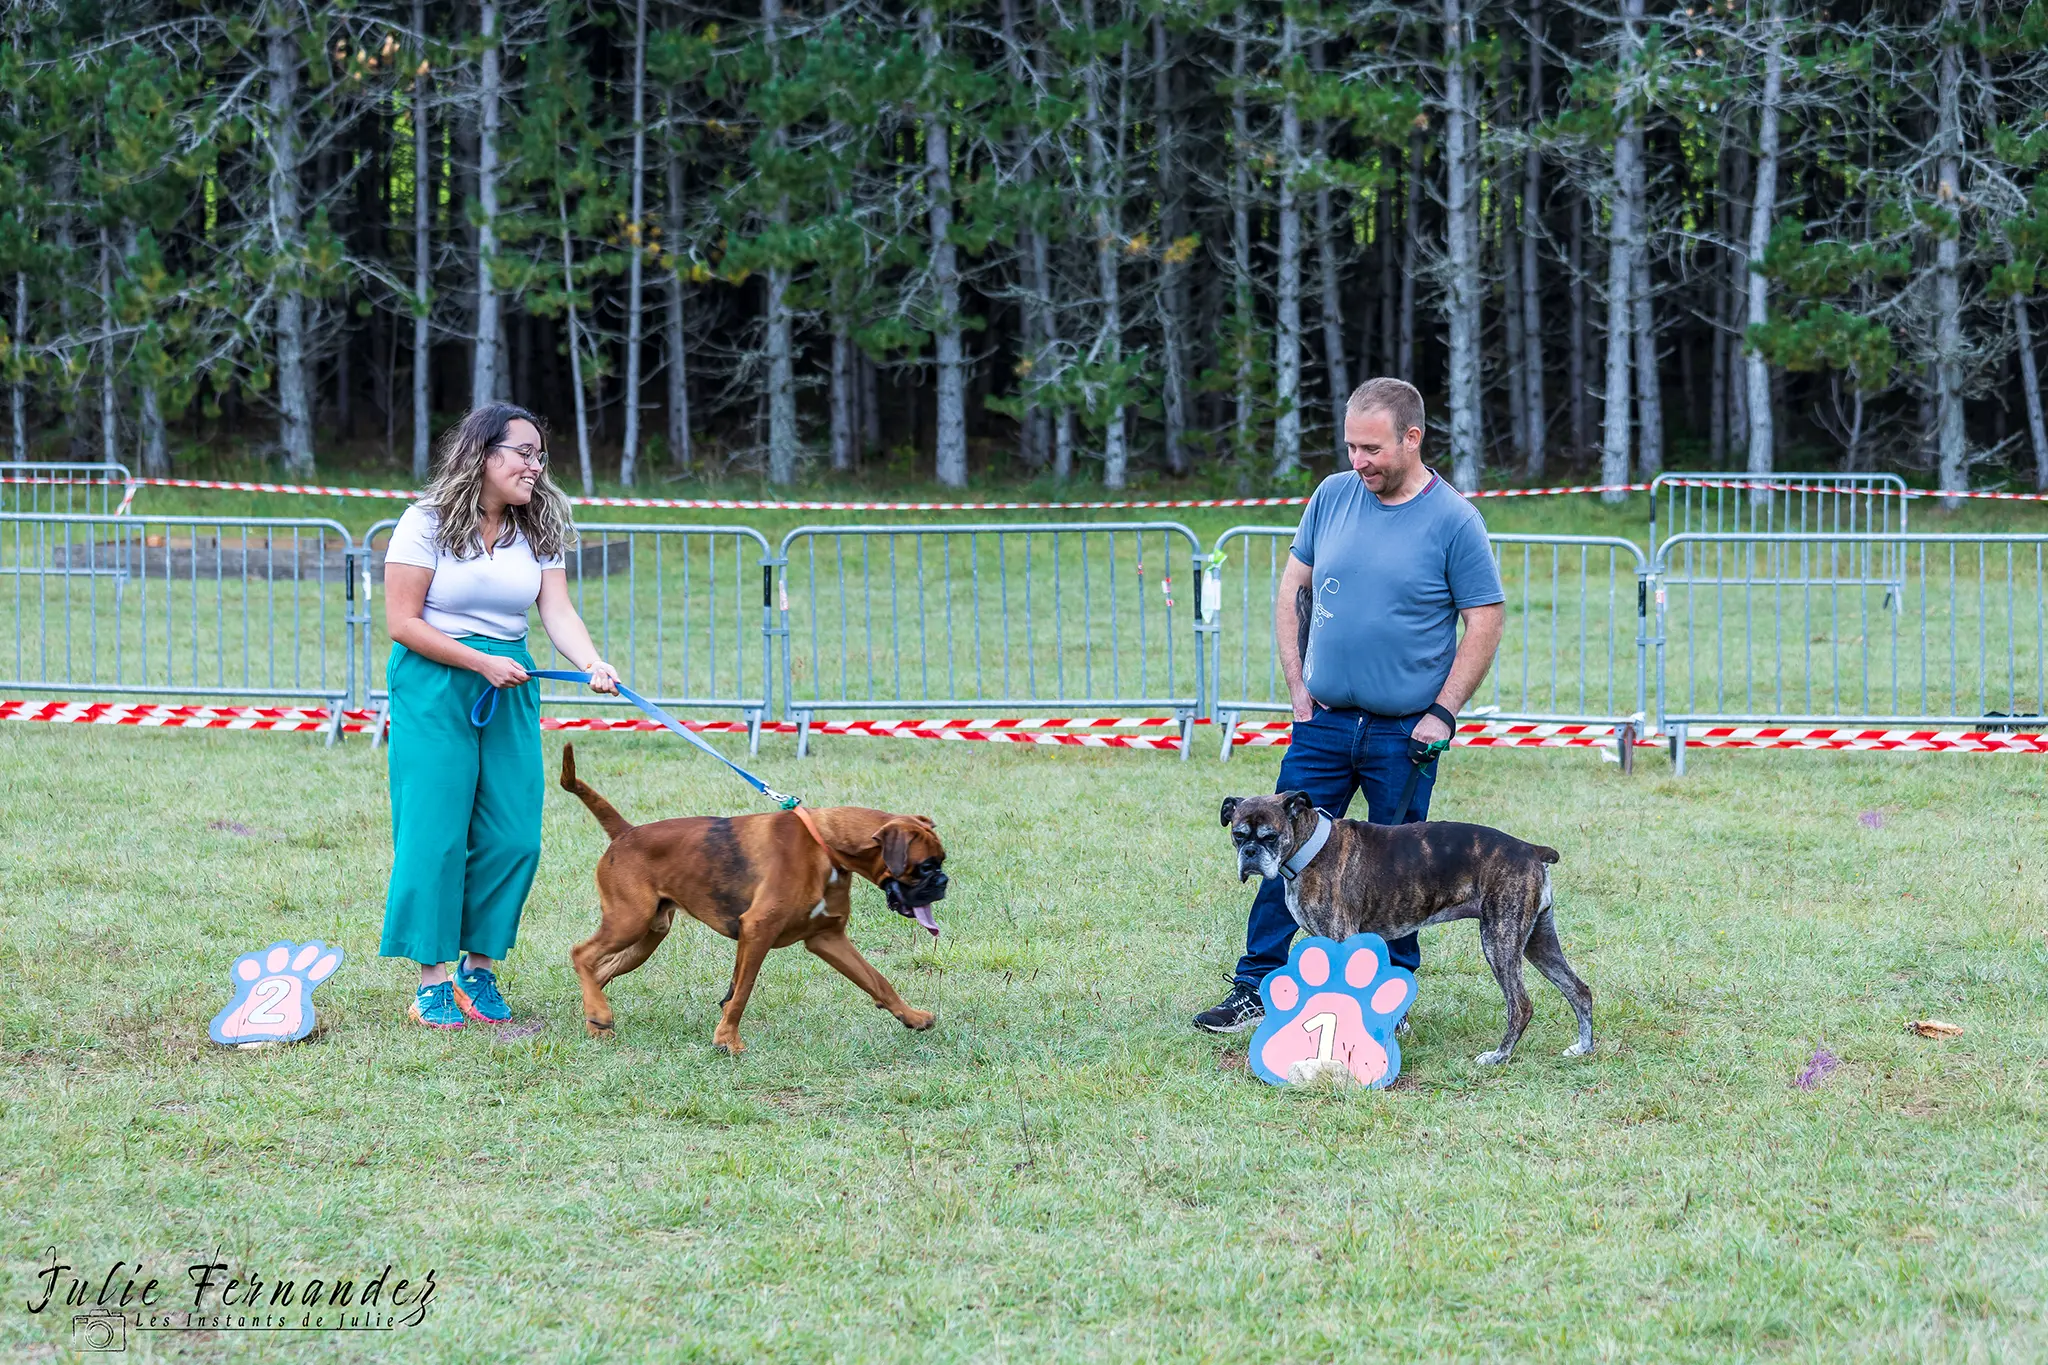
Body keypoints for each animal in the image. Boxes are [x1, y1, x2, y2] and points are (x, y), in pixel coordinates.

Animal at [557, 749, 946, 1055]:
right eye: (925, 866)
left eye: (941, 861)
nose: (943, 883)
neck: (826, 846)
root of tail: (626, 832)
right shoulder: (758, 931)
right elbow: (742, 991)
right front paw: (729, 1040)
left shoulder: (827, 938)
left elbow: (877, 980)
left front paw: (911, 1017)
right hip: (629, 922)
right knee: (582, 954)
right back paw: (600, 1014)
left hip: (648, 936)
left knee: (598, 970)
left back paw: (596, 1021)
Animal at [1220, 789, 1589, 1064]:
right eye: (1238, 836)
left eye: (1270, 837)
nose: (1250, 853)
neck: (1310, 848)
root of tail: (1530, 850)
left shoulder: (1341, 940)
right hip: (1538, 941)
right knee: (1579, 990)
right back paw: (1583, 1048)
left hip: (1500, 940)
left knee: (1521, 1006)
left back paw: (1499, 1056)